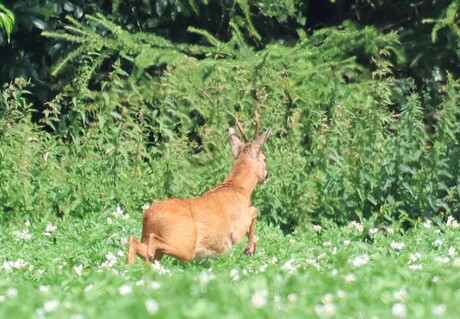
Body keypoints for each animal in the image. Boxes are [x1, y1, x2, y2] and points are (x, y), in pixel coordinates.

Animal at [127, 114, 272, 264]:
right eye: (264, 158)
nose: (266, 175)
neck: (239, 189)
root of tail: (148, 215)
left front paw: (253, 245)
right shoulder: (238, 228)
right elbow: (255, 210)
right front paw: (249, 248)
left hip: (153, 239)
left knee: (134, 242)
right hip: (184, 244)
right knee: (152, 243)